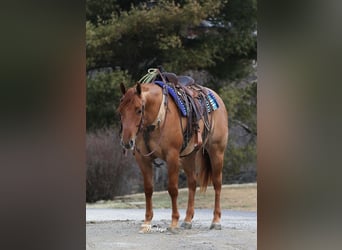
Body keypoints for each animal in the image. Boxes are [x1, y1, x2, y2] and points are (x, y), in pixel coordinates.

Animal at [117, 81, 227, 232]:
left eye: (139, 110)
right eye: (120, 111)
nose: (127, 142)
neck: (156, 120)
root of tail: (217, 97)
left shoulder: (172, 156)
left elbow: (173, 189)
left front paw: (174, 222)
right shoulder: (143, 159)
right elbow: (148, 189)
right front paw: (147, 221)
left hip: (216, 151)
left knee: (217, 184)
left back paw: (216, 221)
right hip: (188, 157)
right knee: (192, 183)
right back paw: (187, 220)